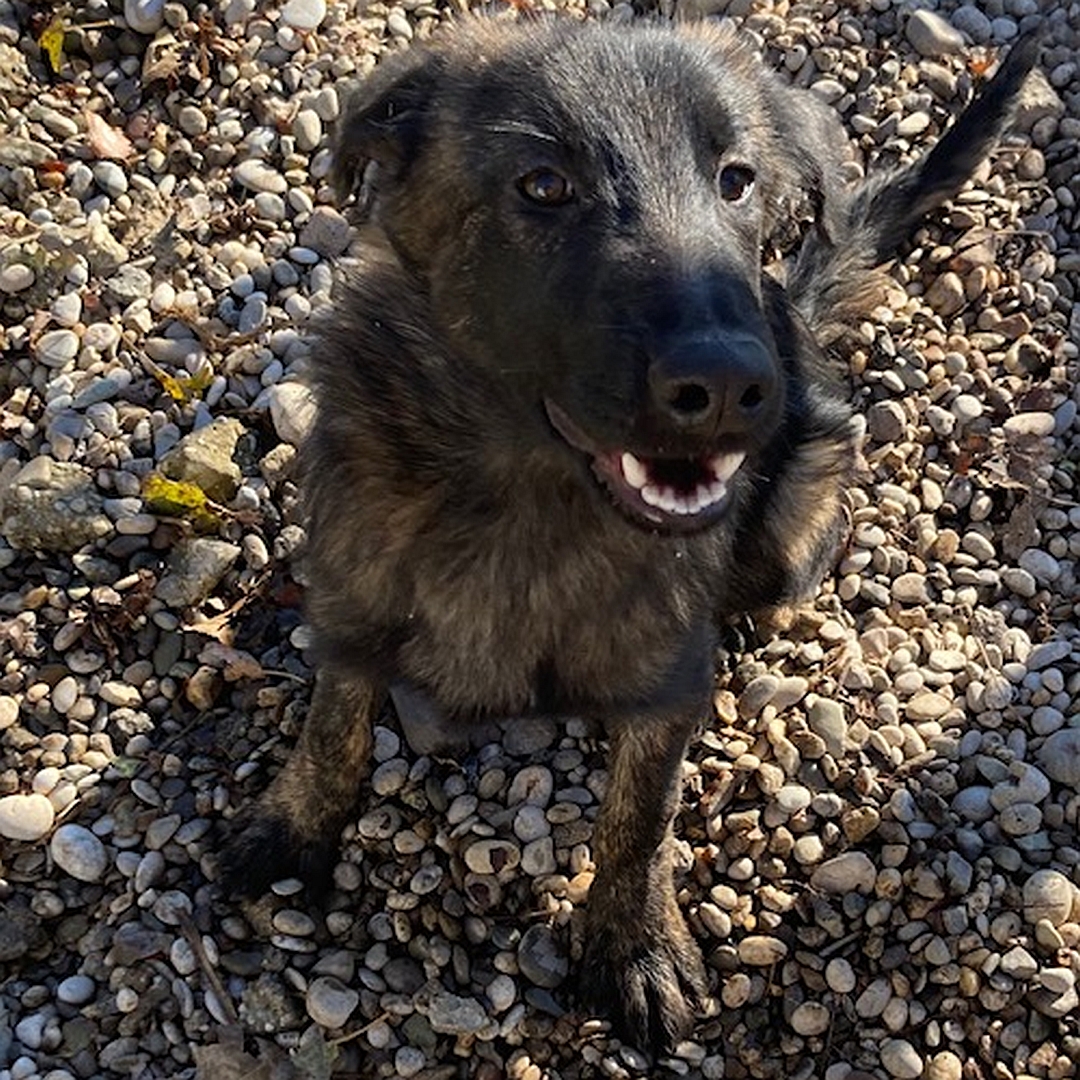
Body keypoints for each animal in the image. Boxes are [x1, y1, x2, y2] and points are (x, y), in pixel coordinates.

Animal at [225, 16, 1036, 1054]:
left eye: (736, 180)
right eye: (543, 185)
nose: (730, 384)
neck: (528, 495)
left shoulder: (667, 686)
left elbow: (639, 819)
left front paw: (633, 942)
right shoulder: (350, 601)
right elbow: (332, 726)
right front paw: (295, 823)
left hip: (799, 499)